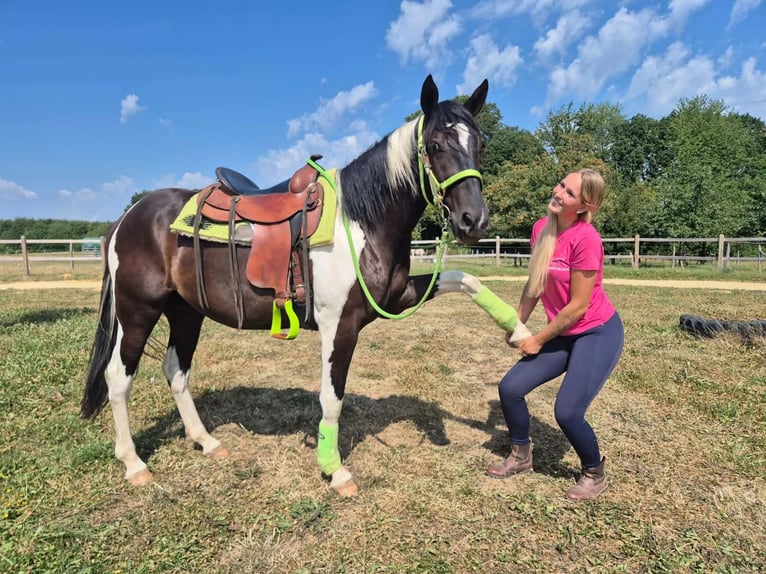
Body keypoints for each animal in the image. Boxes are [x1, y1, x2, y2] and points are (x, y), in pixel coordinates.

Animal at [82, 75, 490, 496]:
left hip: (186, 312)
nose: (473, 220)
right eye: (436, 145)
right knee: (118, 378)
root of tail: (128, 216)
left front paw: (513, 330)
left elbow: (466, 279)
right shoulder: (339, 325)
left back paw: (206, 441)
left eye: (480, 144)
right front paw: (334, 469)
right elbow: (332, 398)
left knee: (176, 371)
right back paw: (133, 463)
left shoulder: (396, 298)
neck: (361, 220)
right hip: (137, 312)